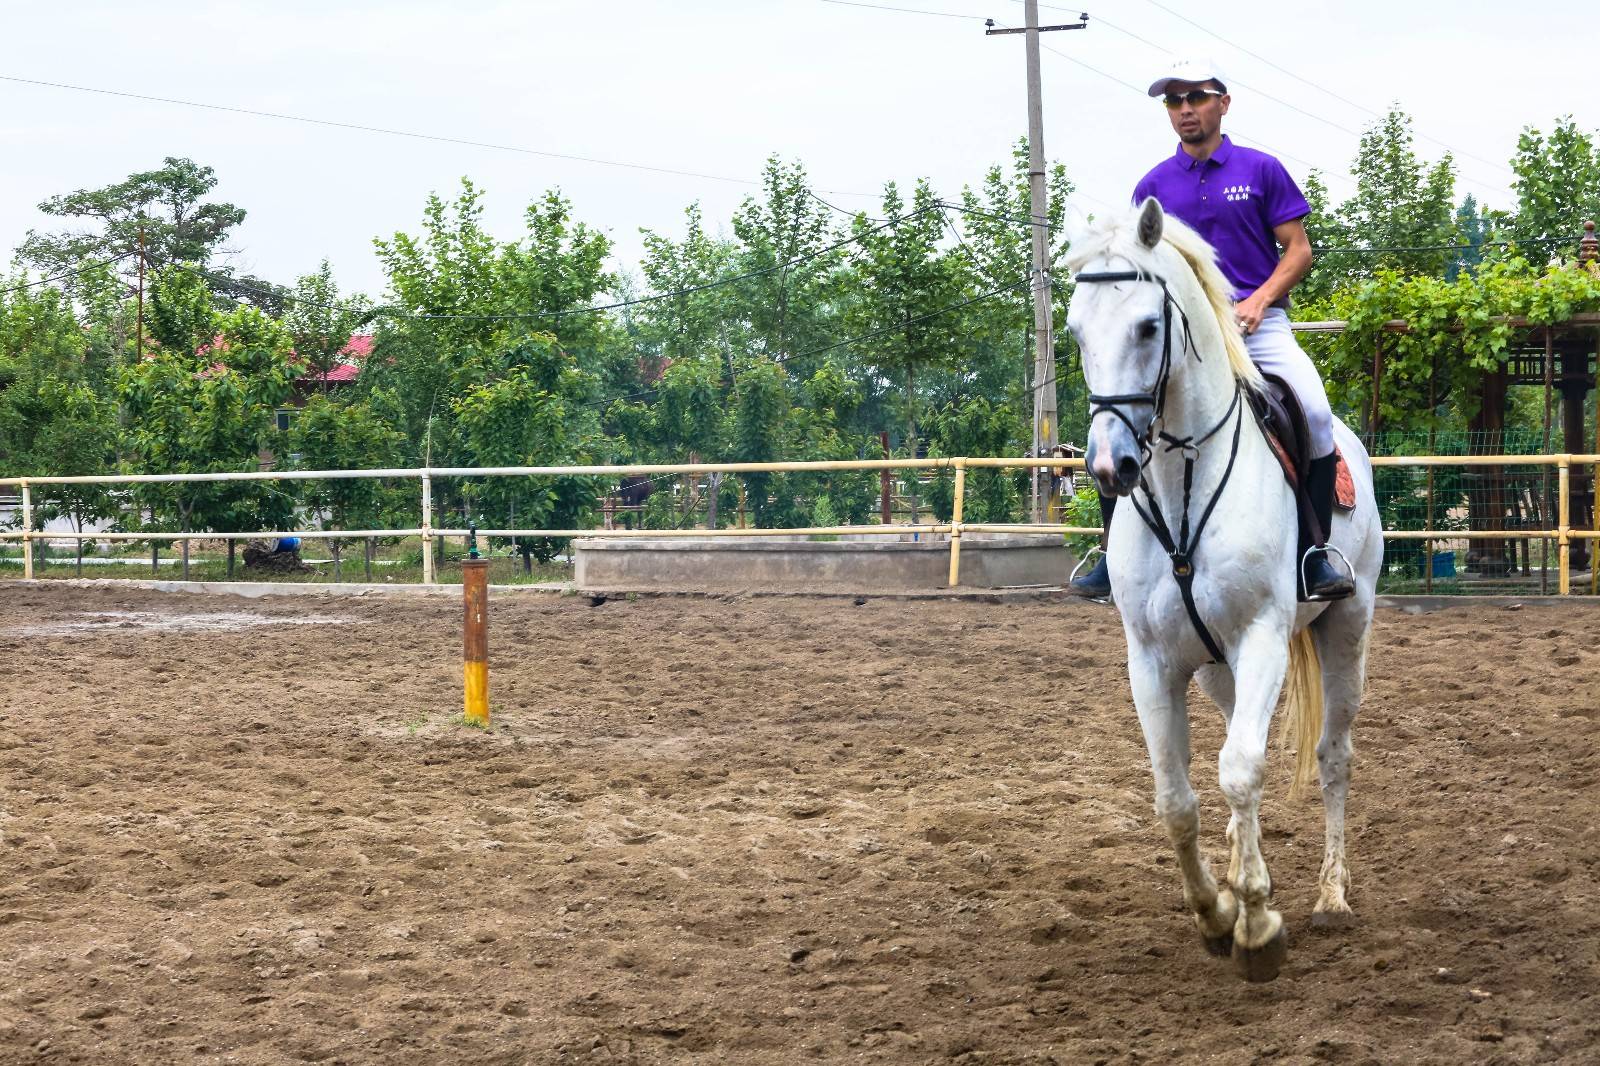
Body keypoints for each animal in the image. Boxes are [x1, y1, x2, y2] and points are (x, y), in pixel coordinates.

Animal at [1062, 199, 1388, 979]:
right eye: (1077, 331)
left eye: (1148, 328)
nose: (1110, 467)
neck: (1185, 481)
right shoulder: (1153, 661)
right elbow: (1176, 798)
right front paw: (1216, 912)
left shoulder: (1262, 638)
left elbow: (1240, 771)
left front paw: (1259, 926)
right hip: (1215, 669)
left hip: (1345, 629)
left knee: (1331, 756)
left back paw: (1331, 897)